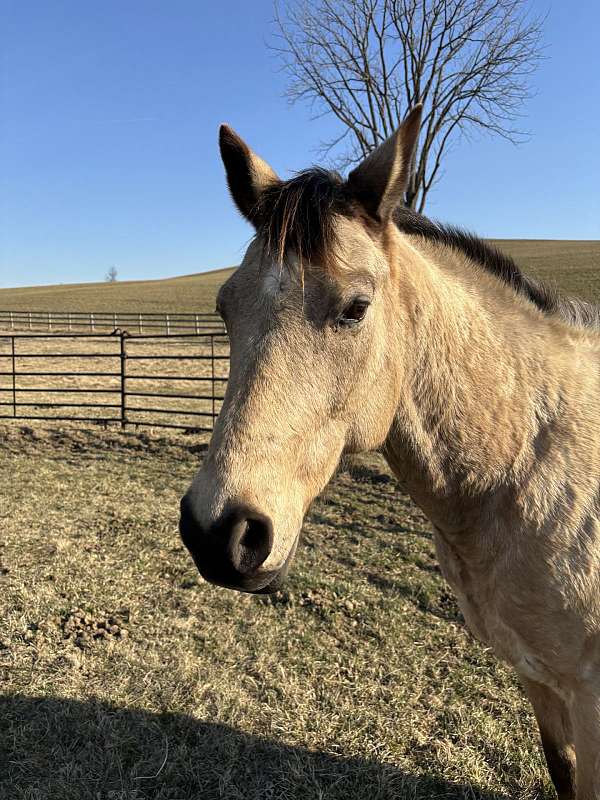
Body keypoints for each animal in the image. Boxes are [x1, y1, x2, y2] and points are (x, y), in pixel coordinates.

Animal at [180, 108, 600, 800]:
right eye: (224, 309)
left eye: (356, 308)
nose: (219, 532)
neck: (531, 461)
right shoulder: (541, 680)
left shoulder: (588, 698)